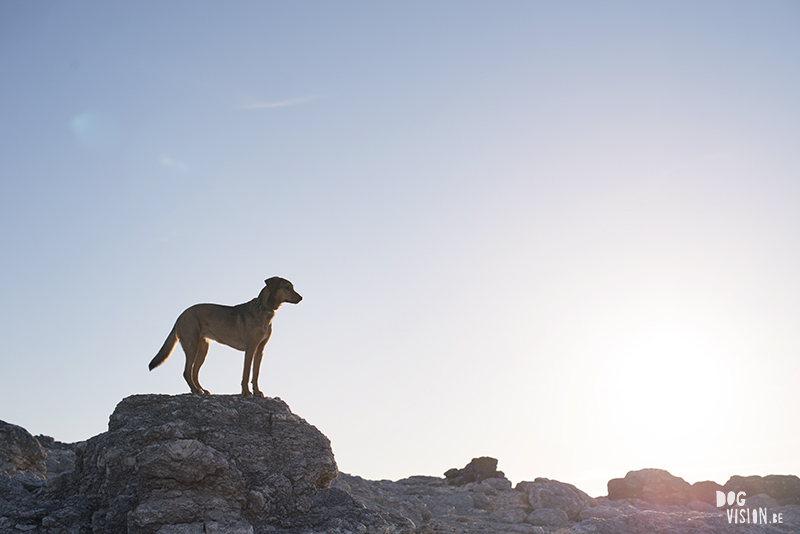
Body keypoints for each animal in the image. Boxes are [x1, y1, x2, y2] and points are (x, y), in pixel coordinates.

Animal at [148, 278, 302, 396]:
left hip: (203, 350)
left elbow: (255, 374)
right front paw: (246, 393)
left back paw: (201, 389)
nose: (301, 298)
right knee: (187, 372)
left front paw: (257, 392)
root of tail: (180, 316)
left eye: (292, 287)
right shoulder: (250, 349)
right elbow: (246, 374)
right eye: (287, 287)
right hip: (192, 346)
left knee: (194, 372)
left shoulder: (260, 350)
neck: (263, 309)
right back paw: (196, 390)